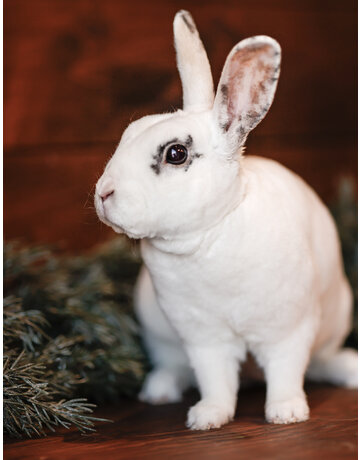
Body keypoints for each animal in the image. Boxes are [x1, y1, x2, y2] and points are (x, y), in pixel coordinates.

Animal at [95, 9, 358, 430]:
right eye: (128, 133)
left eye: (176, 153)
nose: (104, 193)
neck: (208, 236)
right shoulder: (203, 337)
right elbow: (214, 378)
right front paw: (208, 417)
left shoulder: (287, 328)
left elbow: (285, 371)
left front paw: (286, 413)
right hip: (160, 336)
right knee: (174, 366)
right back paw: (158, 391)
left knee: (318, 362)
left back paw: (349, 371)